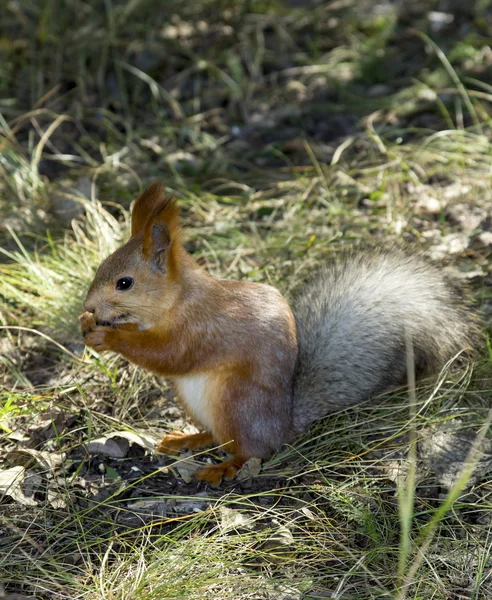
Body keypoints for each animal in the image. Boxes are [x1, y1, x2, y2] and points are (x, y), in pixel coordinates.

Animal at [80, 180, 476, 486]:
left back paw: (222, 468)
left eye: (125, 282)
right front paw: (89, 325)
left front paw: (109, 337)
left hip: (235, 404)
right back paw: (187, 439)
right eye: (100, 266)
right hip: (194, 401)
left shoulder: (203, 329)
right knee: (217, 436)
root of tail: (284, 425)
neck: (178, 300)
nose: (89, 305)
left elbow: (169, 355)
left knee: (252, 451)